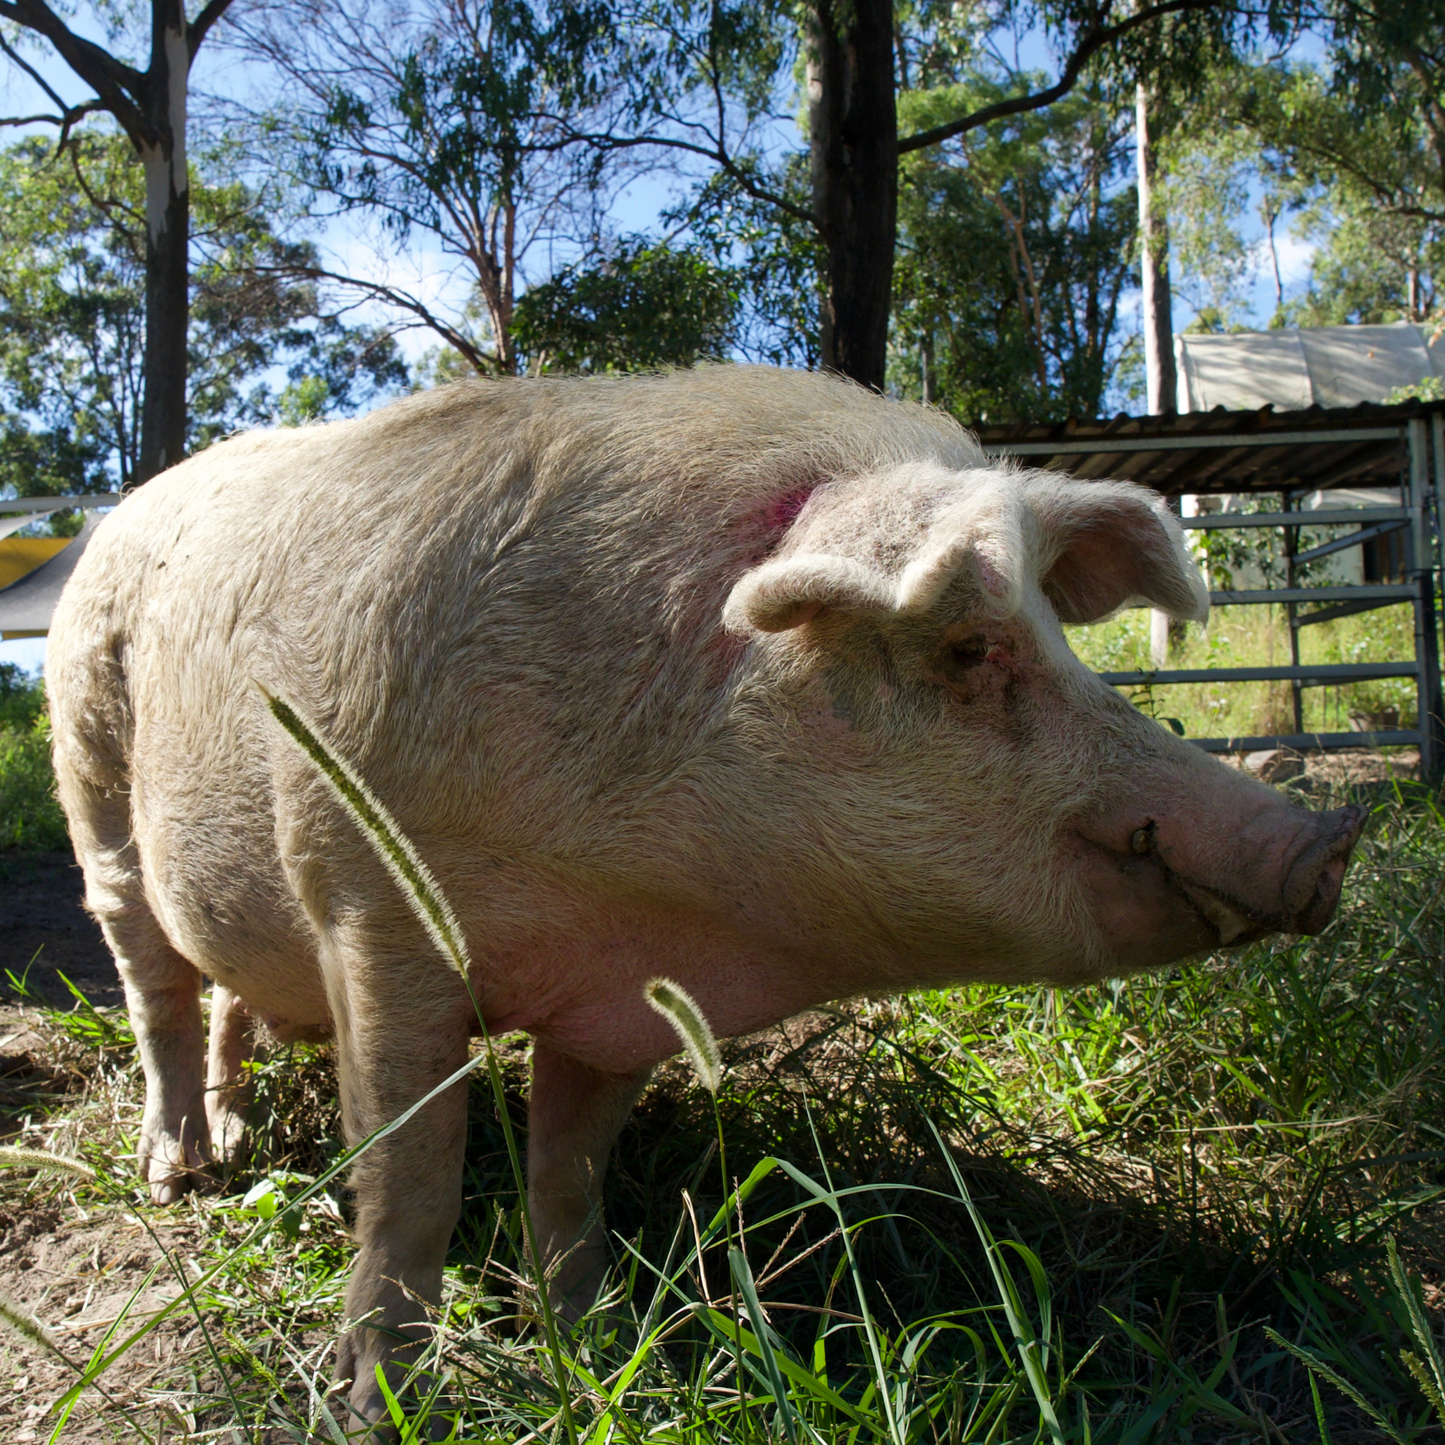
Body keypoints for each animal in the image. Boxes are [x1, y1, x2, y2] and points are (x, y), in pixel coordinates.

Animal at [45, 365, 1365, 1423]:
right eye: (965, 648)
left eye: (1057, 632)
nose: (1322, 840)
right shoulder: (368, 908)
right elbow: (412, 1183)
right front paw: (379, 1409)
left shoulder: (620, 989)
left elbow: (569, 1170)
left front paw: (595, 1340)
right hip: (92, 793)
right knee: (156, 991)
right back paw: (183, 1171)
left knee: (228, 995)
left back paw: (240, 1141)